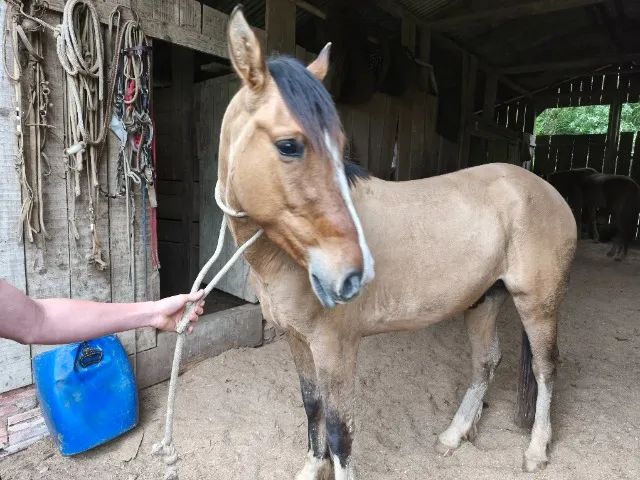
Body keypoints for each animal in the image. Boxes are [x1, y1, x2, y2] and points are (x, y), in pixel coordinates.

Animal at [220, 8, 577, 479]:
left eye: (341, 146)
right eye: (289, 144)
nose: (351, 277)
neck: (286, 259)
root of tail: (549, 192)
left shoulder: (335, 348)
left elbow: (340, 431)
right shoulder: (298, 342)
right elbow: (312, 409)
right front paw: (311, 467)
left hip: (537, 302)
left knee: (545, 367)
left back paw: (536, 451)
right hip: (484, 299)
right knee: (487, 362)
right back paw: (453, 435)